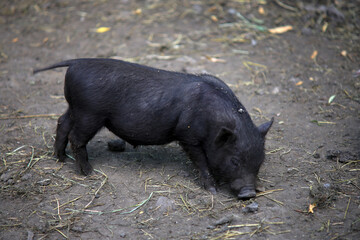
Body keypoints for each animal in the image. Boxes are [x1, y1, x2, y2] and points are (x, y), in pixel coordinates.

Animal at [34, 58, 272, 199]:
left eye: (260, 160)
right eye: (235, 160)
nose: (250, 193)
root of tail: (76, 62)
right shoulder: (188, 136)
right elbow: (201, 162)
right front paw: (212, 189)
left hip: (75, 108)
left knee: (61, 122)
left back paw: (60, 158)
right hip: (89, 113)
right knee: (76, 137)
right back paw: (89, 173)